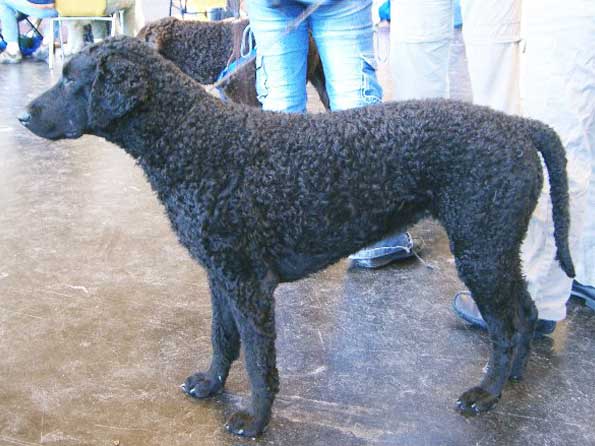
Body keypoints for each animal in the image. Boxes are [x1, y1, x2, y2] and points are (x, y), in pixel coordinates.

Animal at [21, 37, 576, 436]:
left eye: (72, 81)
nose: (24, 115)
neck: (194, 139)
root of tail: (518, 125)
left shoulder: (249, 286)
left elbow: (259, 361)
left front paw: (254, 419)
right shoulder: (220, 277)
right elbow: (222, 339)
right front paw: (210, 383)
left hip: (481, 249)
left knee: (503, 328)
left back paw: (486, 393)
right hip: (498, 248)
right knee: (526, 313)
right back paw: (515, 376)